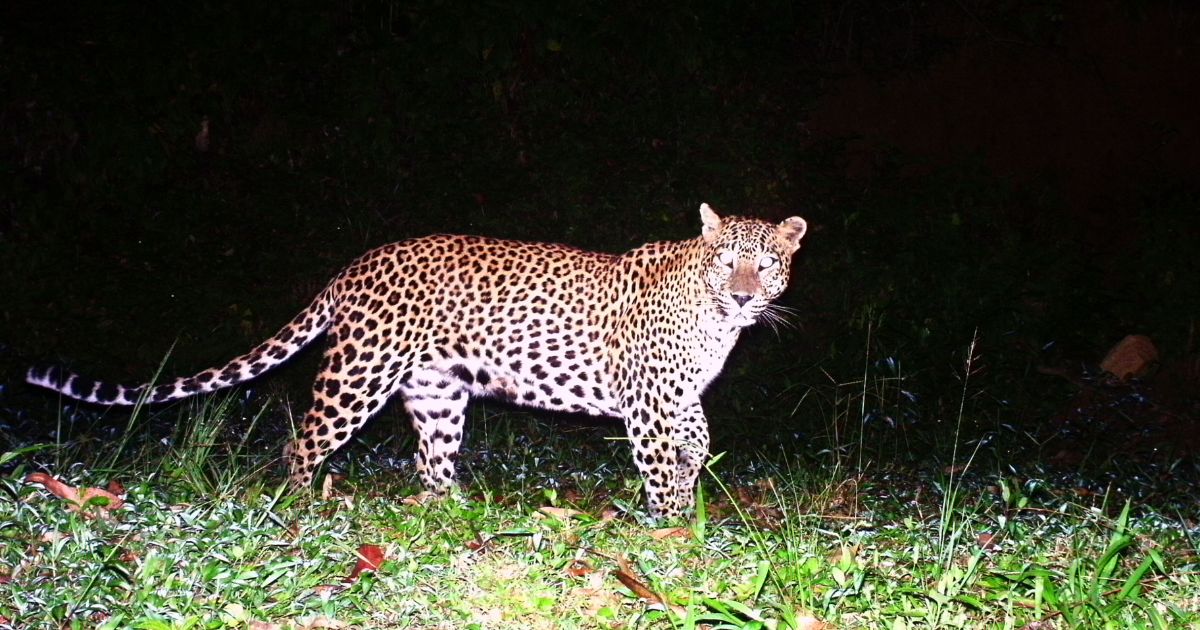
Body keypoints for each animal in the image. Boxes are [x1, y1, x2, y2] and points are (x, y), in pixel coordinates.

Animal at [27, 204, 808, 519]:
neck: (712, 318)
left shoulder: (678, 395)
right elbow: (659, 464)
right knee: (300, 442)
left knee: (429, 460)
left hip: (437, 392)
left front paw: (692, 482)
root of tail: (358, 263)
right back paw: (303, 503)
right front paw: (673, 527)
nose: (743, 297)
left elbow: (697, 437)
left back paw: (454, 509)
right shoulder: (646, 402)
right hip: (358, 375)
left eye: (764, 264)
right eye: (726, 260)